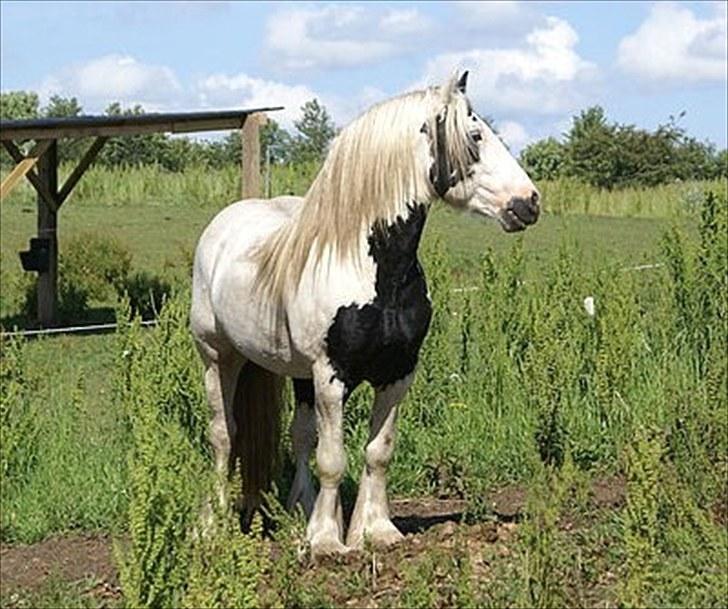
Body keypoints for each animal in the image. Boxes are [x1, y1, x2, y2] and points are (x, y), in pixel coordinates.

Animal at [191, 72, 536, 556]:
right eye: (475, 136)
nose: (528, 202)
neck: (371, 270)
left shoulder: (397, 374)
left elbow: (377, 452)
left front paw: (373, 530)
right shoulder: (331, 377)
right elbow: (332, 459)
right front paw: (325, 542)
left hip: (297, 374)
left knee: (299, 435)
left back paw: (300, 510)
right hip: (218, 357)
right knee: (224, 434)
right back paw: (212, 524)